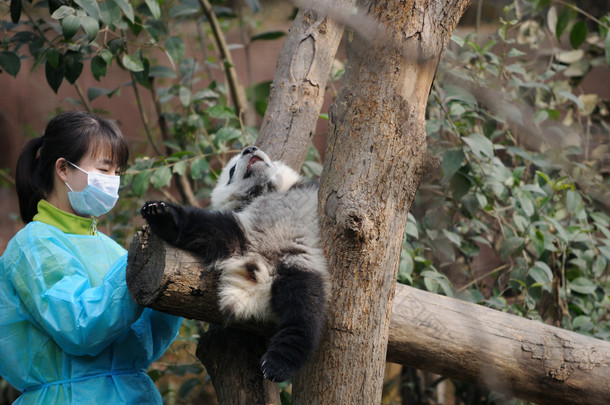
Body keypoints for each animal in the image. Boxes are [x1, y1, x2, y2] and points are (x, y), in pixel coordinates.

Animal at [140, 145, 328, 382]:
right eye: (231, 172)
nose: (250, 148)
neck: (265, 191)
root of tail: (259, 270)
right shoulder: (243, 214)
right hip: (238, 233)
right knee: (202, 225)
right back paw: (162, 216)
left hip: (298, 265)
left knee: (304, 313)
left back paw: (278, 364)